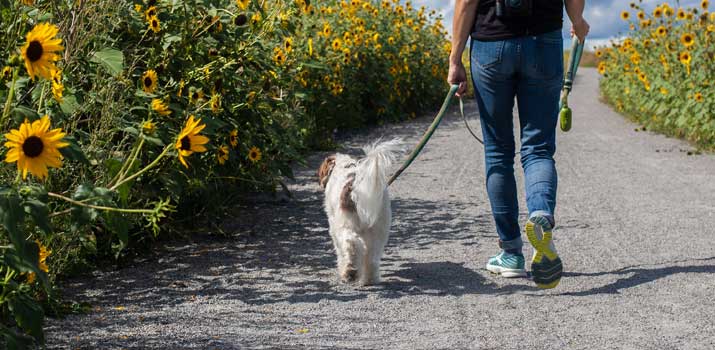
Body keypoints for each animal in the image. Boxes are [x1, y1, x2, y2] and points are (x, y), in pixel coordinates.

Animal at [318, 138, 402, 286]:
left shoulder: (334, 227)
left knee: (351, 244)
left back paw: (349, 272)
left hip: (346, 225)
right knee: (372, 257)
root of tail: (355, 186)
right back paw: (370, 279)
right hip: (379, 229)